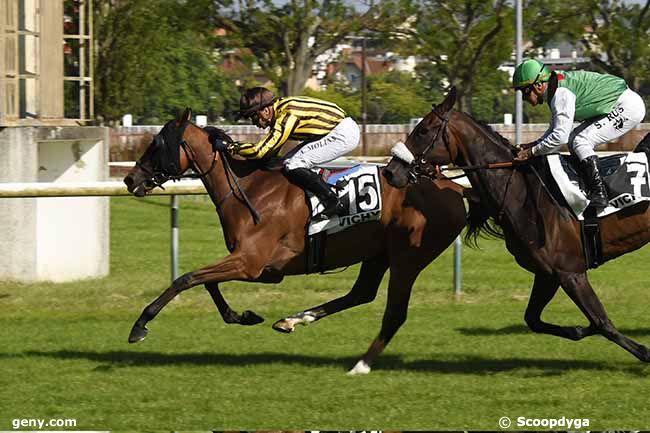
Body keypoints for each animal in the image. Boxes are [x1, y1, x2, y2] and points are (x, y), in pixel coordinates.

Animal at [123, 107, 466, 372]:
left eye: (157, 144)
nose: (130, 179)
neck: (251, 190)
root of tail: (456, 188)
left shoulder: (250, 263)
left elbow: (186, 279)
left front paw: (139, 326)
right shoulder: (259, 268)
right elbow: (207, 283)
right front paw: (243, 316)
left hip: (408, 258)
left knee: (393, 311)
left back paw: (360, 364)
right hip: (378, 254)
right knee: (362, 294)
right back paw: (293, 320)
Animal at [382, 87, 648, 362]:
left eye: (423, 130)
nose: (390, 172)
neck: (524, 194)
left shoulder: (571, 272)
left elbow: (602, 322)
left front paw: (643, 351)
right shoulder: (548, 274)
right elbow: (533, 319)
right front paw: (577, 329)